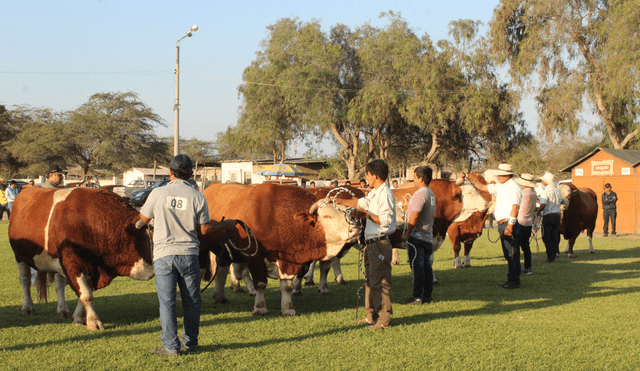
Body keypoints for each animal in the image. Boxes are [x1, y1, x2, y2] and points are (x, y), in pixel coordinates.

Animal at [8, 187, 155, 330]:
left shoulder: (91, 268)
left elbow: (83, 292)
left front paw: (79, 318)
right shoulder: (72, 263)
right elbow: (86, 294)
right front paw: (93, 321)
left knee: (59, 285)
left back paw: (62, 310)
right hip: (20, 257)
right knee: (25, 281)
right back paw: (27, 307)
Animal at [198, 183, 362, 316]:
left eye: (347, 215)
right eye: (327, 216)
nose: (355, 229)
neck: (278, 217)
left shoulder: (290, 261)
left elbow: (287, 286)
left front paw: (288, 309)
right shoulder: (254, 255)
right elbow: (260, 283)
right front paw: (260, 308)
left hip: (225, 251)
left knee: (221, 271)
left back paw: (220, 296)